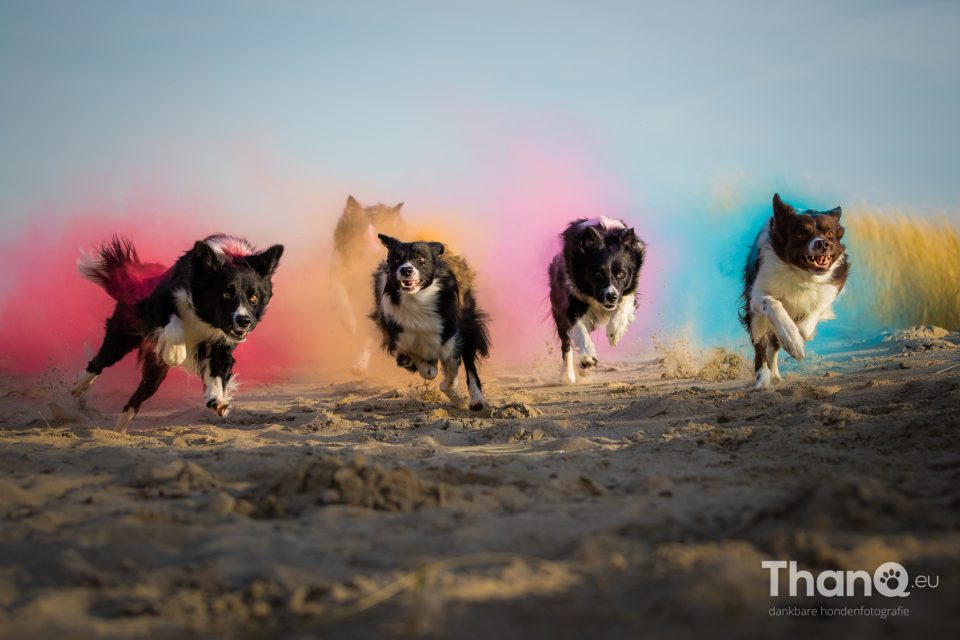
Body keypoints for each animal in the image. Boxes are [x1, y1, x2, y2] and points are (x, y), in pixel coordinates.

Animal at [71, 232, 284, 432]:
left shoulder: (222, 345)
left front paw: (217, 400)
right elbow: (174, 323)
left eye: (253, 297)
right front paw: (175, 353)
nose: (245, 321)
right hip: (123, 336)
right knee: (100, 361)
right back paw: (78, 386)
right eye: (225, 294)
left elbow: (217, 372)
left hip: (154, 374)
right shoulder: (157, 302)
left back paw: (119, 431)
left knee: (137, 397)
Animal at [372, 235, 492, 410]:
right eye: (396, 259)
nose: (406, 270)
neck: (417, 299)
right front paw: (413, 362)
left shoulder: (450, 338)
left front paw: (451, 391)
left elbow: (451, 374)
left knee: (469, 364)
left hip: (466, 323)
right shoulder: (400, 337)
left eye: (421, 259)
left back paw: (477, 400)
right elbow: (428, 370)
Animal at [548, 218, 644, 384]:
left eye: (621, 274)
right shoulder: (572, 300)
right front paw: (588, 357)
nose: (611, 296)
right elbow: (579, 329)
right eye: (597, 274)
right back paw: (568, 375)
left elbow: (624, 303)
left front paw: (614, 332)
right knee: (566, 343)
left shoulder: (628, 290)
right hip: (558, 307)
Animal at [740, 192, 852, 388]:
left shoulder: (834, 282)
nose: (823, 244)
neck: (802, 273)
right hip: (755, 317)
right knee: (760, 344)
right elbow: (773, 305)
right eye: (801, 234)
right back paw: (763, 378)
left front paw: (799, 335)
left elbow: (814, 313)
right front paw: (793, 342)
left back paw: (775, 375)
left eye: (830, 233)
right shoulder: (756, 292)